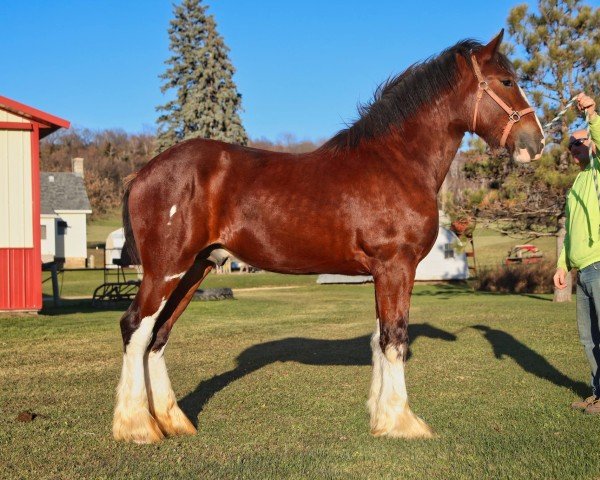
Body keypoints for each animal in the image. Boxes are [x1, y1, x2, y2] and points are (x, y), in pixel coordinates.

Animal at [111, 30, 544, 444]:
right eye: (506, 81)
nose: (536, 142)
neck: (396, 162)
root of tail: (144, 173)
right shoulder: (396, 265)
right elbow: (394, 338)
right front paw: (403, 422)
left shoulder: (381, 272)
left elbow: (379, 337)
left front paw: (380, 418)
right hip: (166, 269)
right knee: (136, 328)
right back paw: (137, 427)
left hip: (194, 269)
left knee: (159, 335)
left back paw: (173, 422)